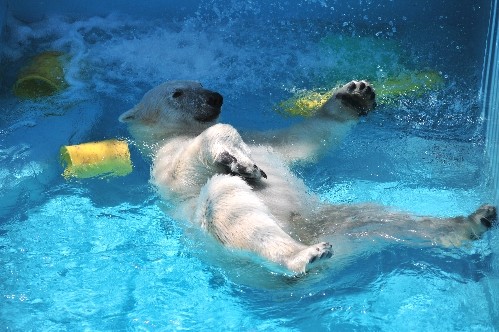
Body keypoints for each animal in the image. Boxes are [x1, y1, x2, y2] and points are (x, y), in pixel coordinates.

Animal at [120, 80, 496, 272]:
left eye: (200, 84)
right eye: (177, 93)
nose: (215, 97)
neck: (181, 132)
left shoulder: (265, 140)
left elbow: (304, 141)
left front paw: (354, 95)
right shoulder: (166, 160)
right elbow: (186, 172)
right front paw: (240, 162)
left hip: (332, 219)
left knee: (384, 220)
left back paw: (472, 221)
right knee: (228, 204)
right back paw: (302, 256)